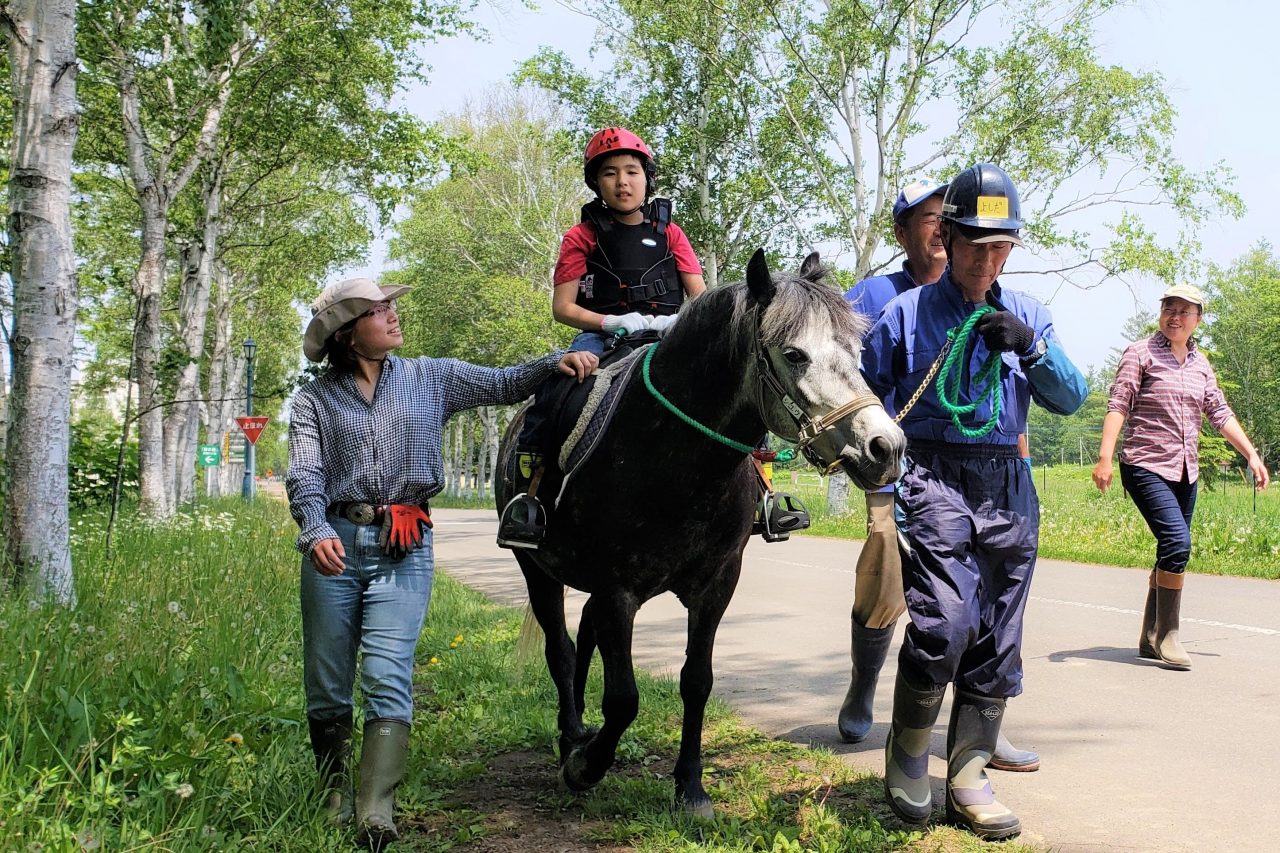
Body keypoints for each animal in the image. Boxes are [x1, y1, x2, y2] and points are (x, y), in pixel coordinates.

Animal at [494, 247, 906, 819]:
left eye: (855, 351)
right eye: (794, 354)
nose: (885, 448)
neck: (671, 456)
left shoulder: (715, 585)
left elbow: (697, 682)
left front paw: (689, 785)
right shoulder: (618, 589)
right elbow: (623, 698)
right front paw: (586, 765)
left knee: (585, 638)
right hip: (538, 571)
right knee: (561, 648)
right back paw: (572, 736)